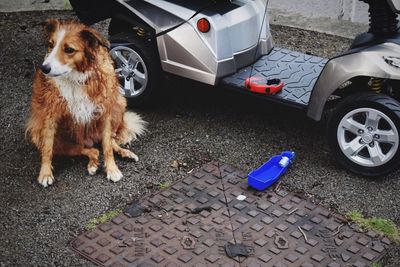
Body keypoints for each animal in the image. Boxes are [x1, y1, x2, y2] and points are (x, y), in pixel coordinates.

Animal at [26, 18, 145, 187]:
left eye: (69, 49)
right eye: (50, 45)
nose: (44, 68)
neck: (74, 77)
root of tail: (90, 140)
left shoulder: (105, 111)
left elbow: (107, 146)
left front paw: (112, 169)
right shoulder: (50, 115)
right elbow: (48, 148)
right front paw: (45, 173)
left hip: (119, 104)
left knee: (109, 141)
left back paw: (124, 152)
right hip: (41, 134)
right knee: (89, 150)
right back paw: (92, 163)